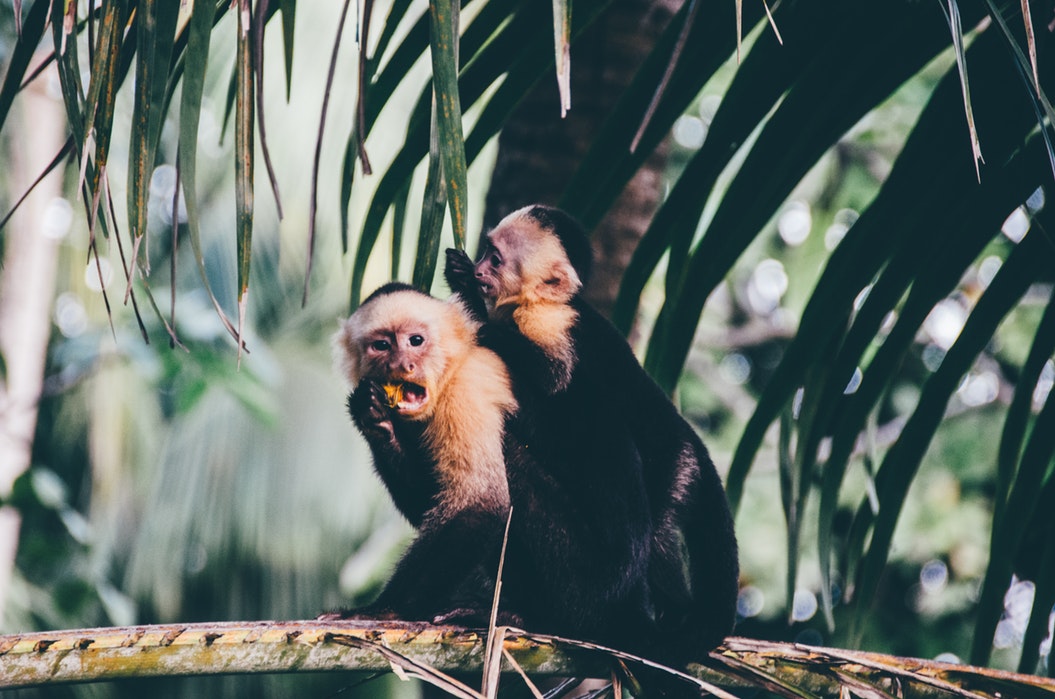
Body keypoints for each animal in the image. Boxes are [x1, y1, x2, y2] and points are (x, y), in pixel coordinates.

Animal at [329, 282, 658, 649]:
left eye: (416, 340)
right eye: (381, 346)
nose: (402, 365)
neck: (453, 365)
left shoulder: (466, 388)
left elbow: (480, 503)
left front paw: (383, 609)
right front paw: (374, 419)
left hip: (586, 580)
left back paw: (536, 618)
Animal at [445, 205, 742, 666]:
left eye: (495, 259)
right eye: (485, 252)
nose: (478, 271)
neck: (539, 301)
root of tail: (692, 441)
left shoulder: (549, 322)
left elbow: (551, 378)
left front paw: (477, 313)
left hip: (673, 467)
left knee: (656, 534)